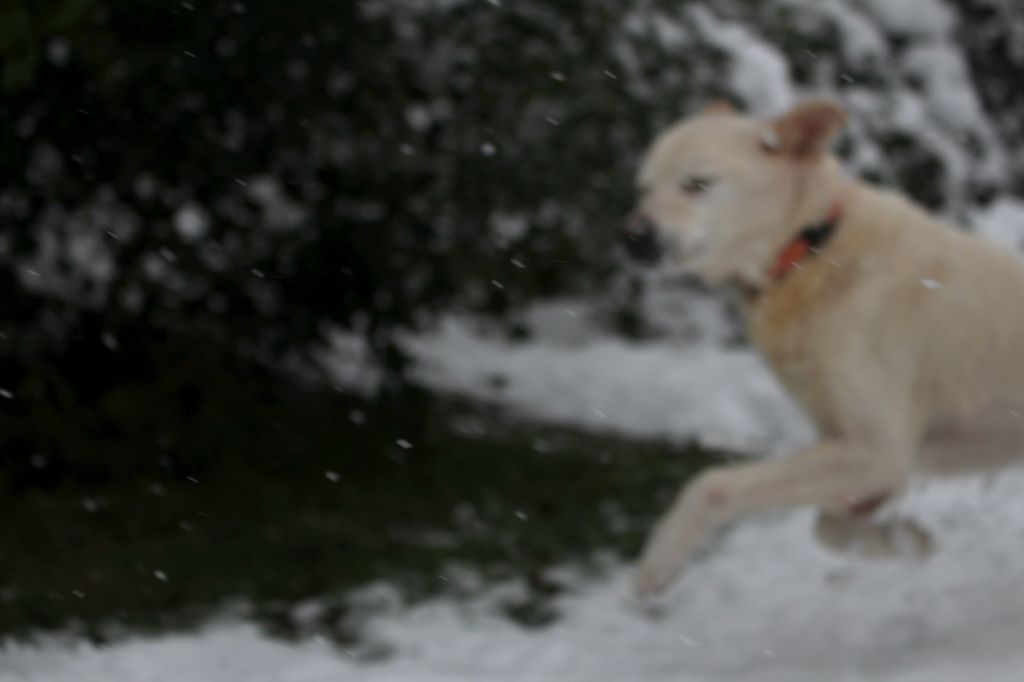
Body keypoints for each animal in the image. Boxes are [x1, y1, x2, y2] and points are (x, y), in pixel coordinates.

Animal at [625, 99, 1024, 596]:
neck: (813, 251)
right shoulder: (864, 456)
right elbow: (828, 527)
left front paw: (659, 561)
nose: (633, 237)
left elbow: (712, 485)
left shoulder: (876, 451)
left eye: (698, 184)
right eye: (645, 188)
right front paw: (903, 541)